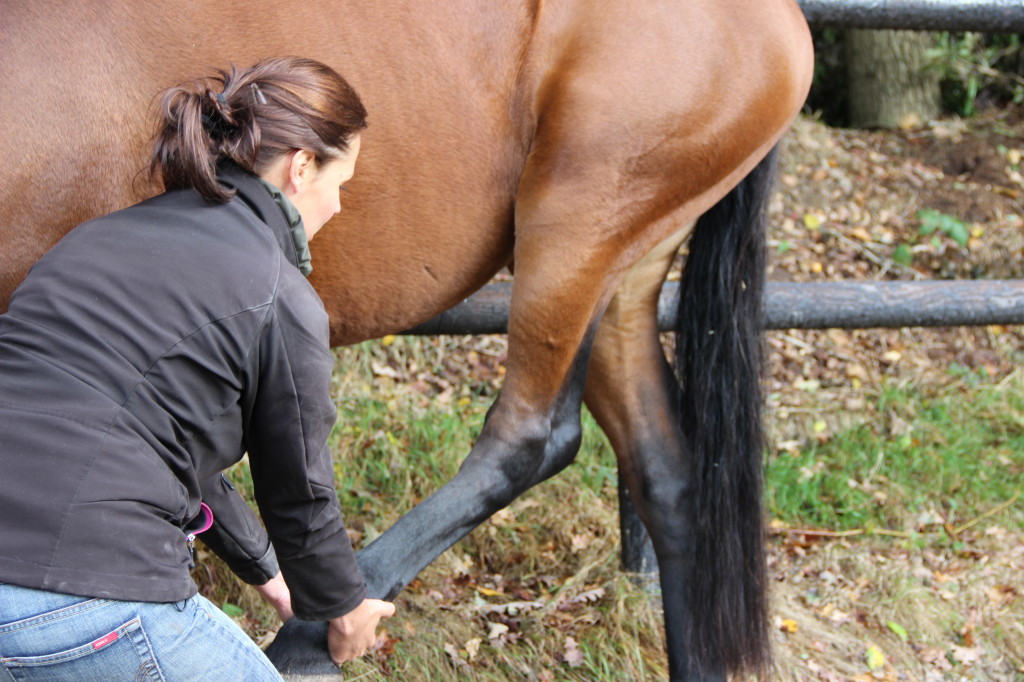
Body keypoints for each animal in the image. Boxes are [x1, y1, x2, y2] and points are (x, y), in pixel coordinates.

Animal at [0, 2, 813, 679]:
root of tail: (778, 18)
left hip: (578, 225)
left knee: (535, 436)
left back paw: (311, 638)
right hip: (626, 270)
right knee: (669, 479)